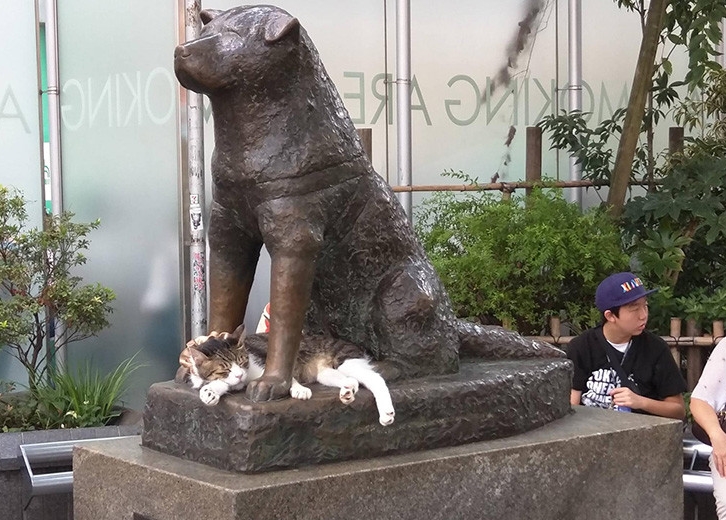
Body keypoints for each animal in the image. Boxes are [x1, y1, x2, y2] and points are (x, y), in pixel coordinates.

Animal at [179, 324, 398, 426]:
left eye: (242, 362)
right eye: (224, 369)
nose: (240, 375)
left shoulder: (262, 366)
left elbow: (284, 376)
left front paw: (299, 390)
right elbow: (218, 383)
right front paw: (210, 391)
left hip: (345, 360)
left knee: (375, 379)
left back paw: (386, 413)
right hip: (326, 373)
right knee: (352, 381)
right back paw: (347, 392)